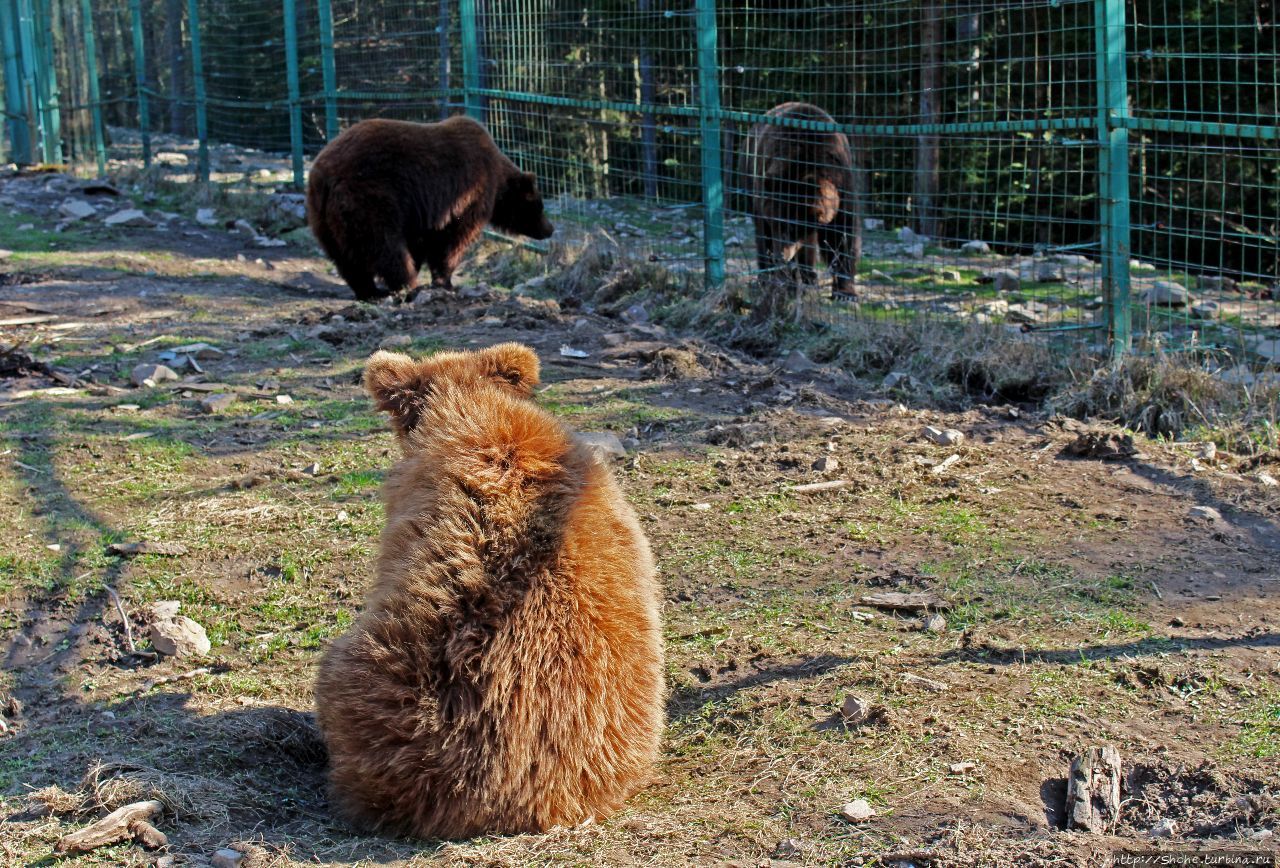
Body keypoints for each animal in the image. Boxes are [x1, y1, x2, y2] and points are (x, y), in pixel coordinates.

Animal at [309, 116, 555, 302]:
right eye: (539, 206)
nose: (550, 229)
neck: (498, 183)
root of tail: (325, 175)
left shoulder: (421, 212)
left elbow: (420, 242)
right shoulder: (467, 196)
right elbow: (453, 240)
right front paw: (446, 281)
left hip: (323, 217)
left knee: (345, 258)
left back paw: (370, 291)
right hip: (371, 197)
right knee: (386, 245)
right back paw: (407, 284)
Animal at [737, 102, 865, 307]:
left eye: (791, 226)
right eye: (776, 223)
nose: (780, 256)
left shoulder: (843, 184)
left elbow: (842, 235)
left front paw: (846, 293)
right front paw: (787, 283)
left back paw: (807, 279)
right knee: (762, 237)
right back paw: (769, 278)